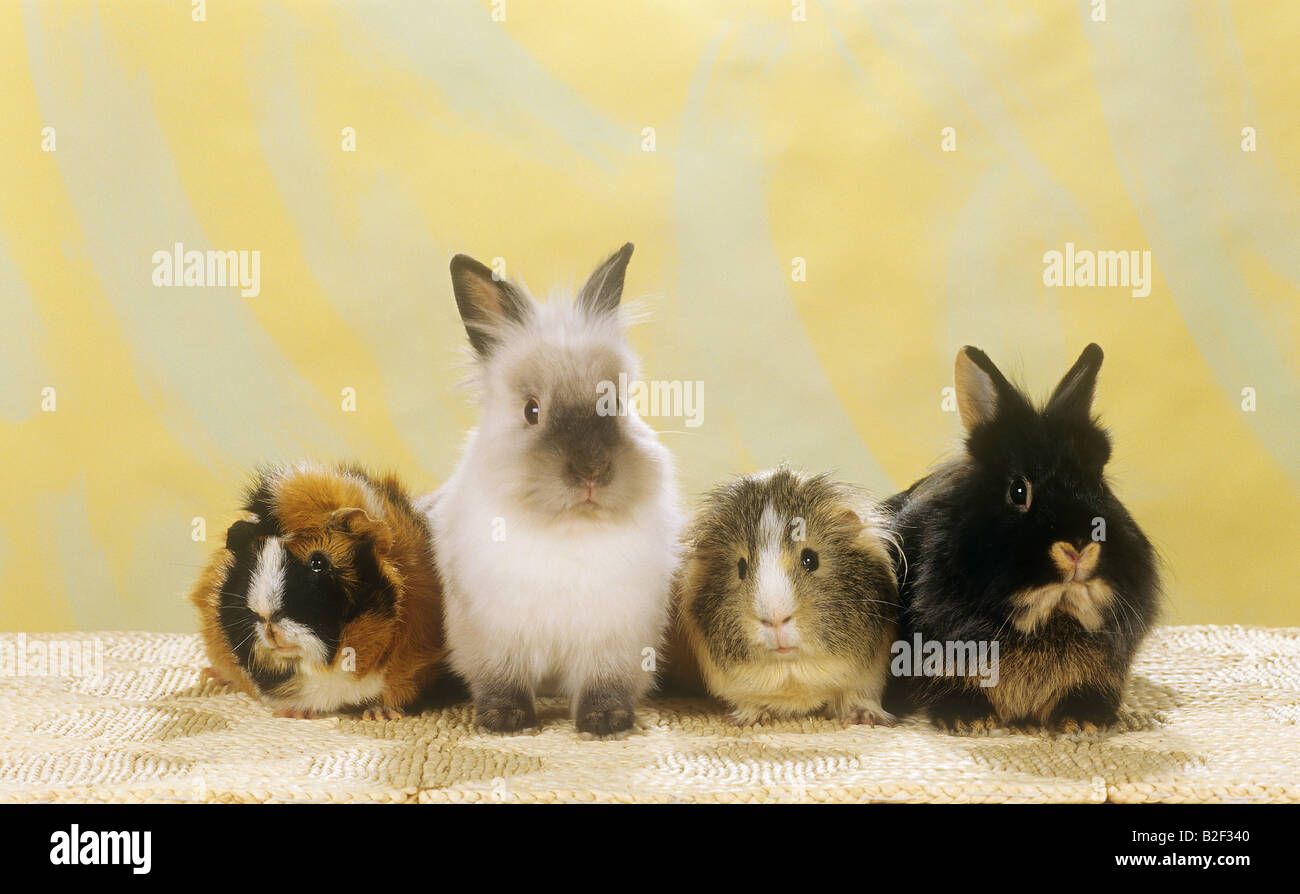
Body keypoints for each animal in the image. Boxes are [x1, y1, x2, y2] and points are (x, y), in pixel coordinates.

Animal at [426, 243, 683, 736]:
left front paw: (607, 721)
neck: (568, 526)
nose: (591, 471)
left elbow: (604, 683)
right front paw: (505, 720)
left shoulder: (614, 639)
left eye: (616, 404)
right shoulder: (494, 636)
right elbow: (501, 678)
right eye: (532, 410)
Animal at [665, 467, 899, 726]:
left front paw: (866, 718)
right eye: (741, 567)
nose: (775, 618)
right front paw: (755, 718)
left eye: (810, 559)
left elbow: (857, 696)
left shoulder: (868, 679)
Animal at [883, 344, 1160, 733]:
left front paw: (1084, 721)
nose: (1078, 549)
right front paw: (969, 720)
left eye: (1100, 487)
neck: (1051, 612)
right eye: (1018, 491)